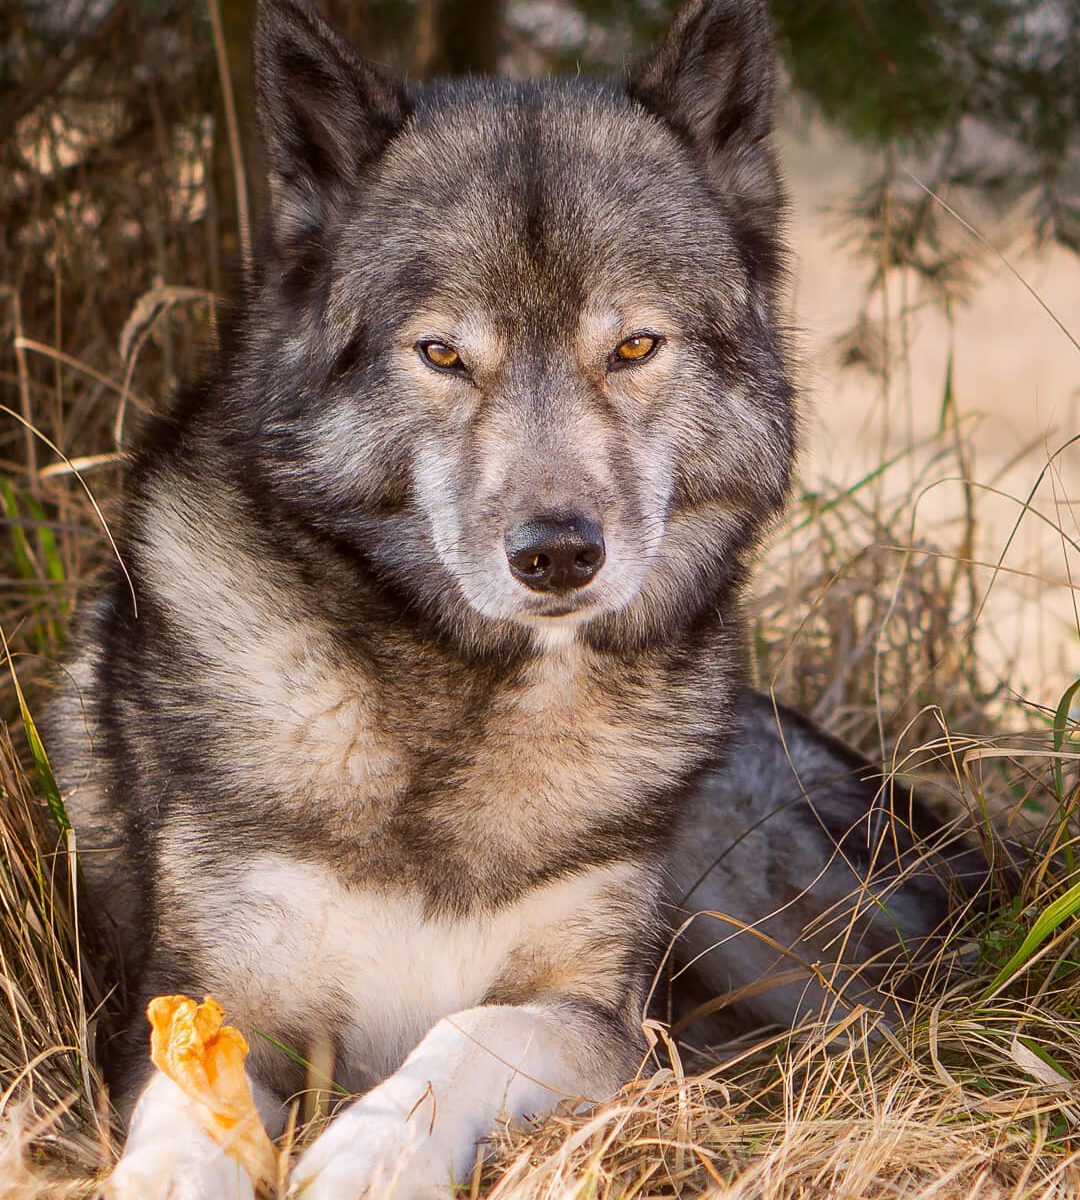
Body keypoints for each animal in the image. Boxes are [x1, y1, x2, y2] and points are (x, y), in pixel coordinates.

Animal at [50, 2, 979, 1200]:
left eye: (634, 346)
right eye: (444, 354)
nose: (558, 555)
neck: (463, 701)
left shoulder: (599, 1017)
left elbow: (479, 1030)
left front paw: (377, 1149)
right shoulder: (208, 1004)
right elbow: (184, 1129)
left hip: (746, 913)